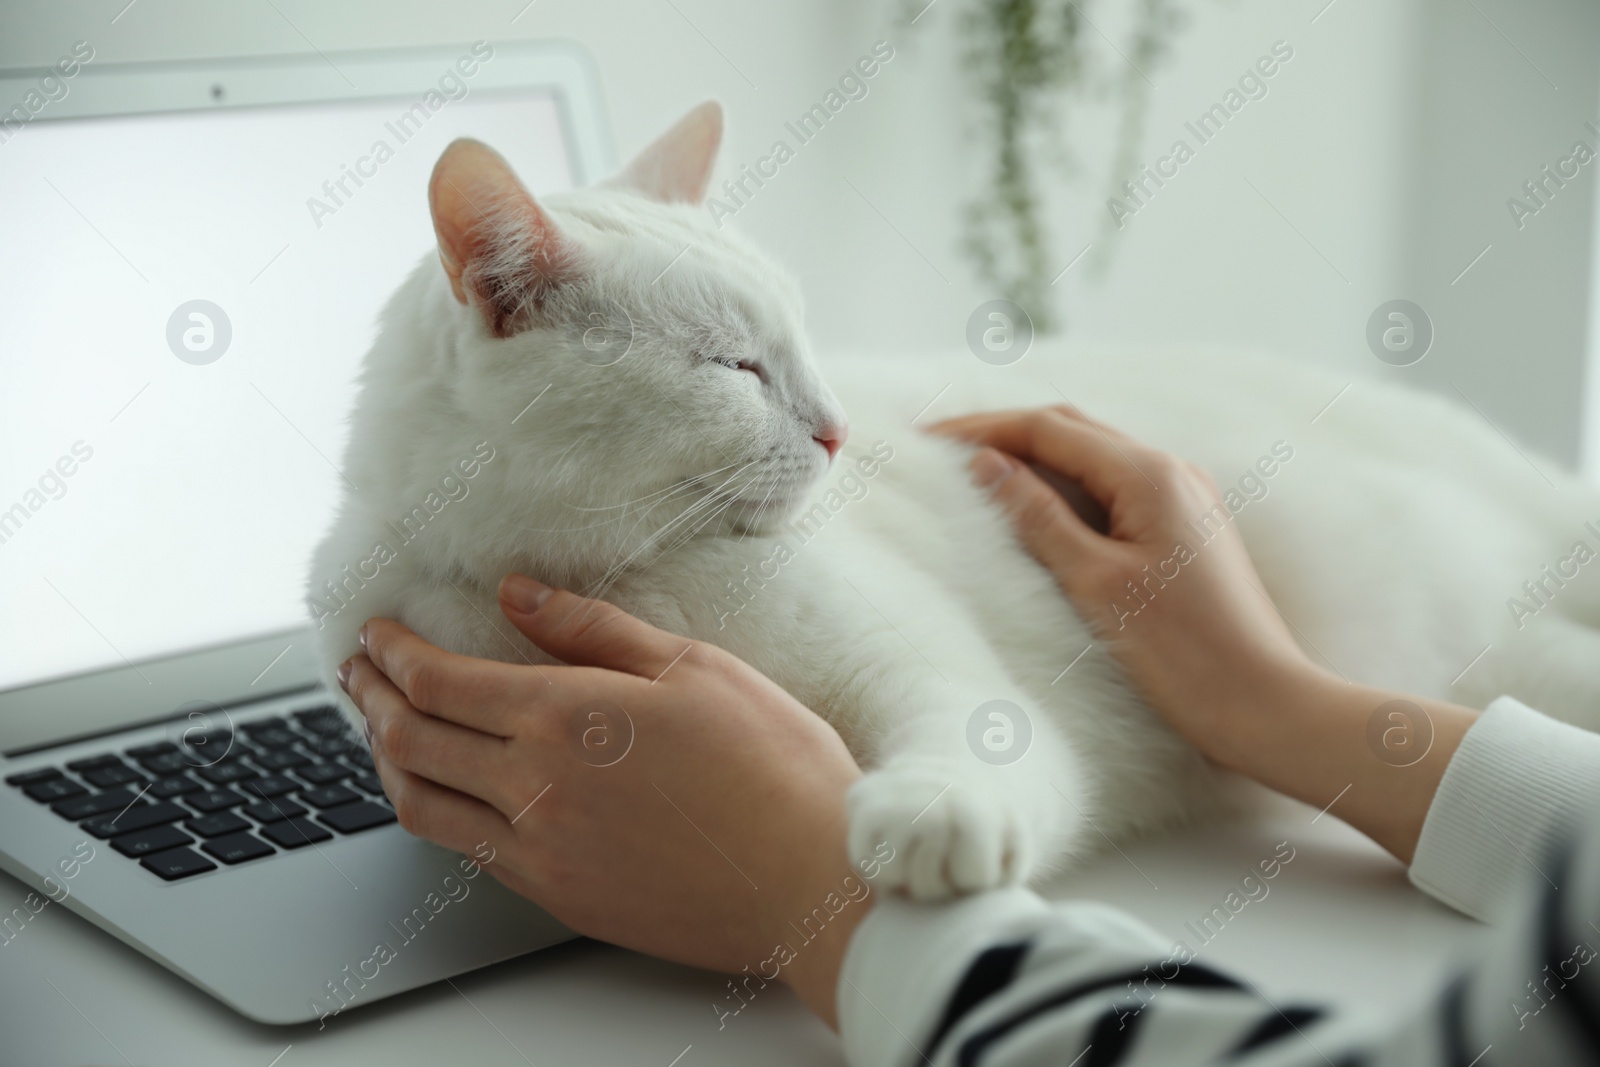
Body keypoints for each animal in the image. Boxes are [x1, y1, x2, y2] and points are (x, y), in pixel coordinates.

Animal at [308, 102, 1600, 902]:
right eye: (736, 367)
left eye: (805, 341)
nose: (836, 430)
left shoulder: (926, 669)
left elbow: (967, 732)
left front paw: (934, 813)